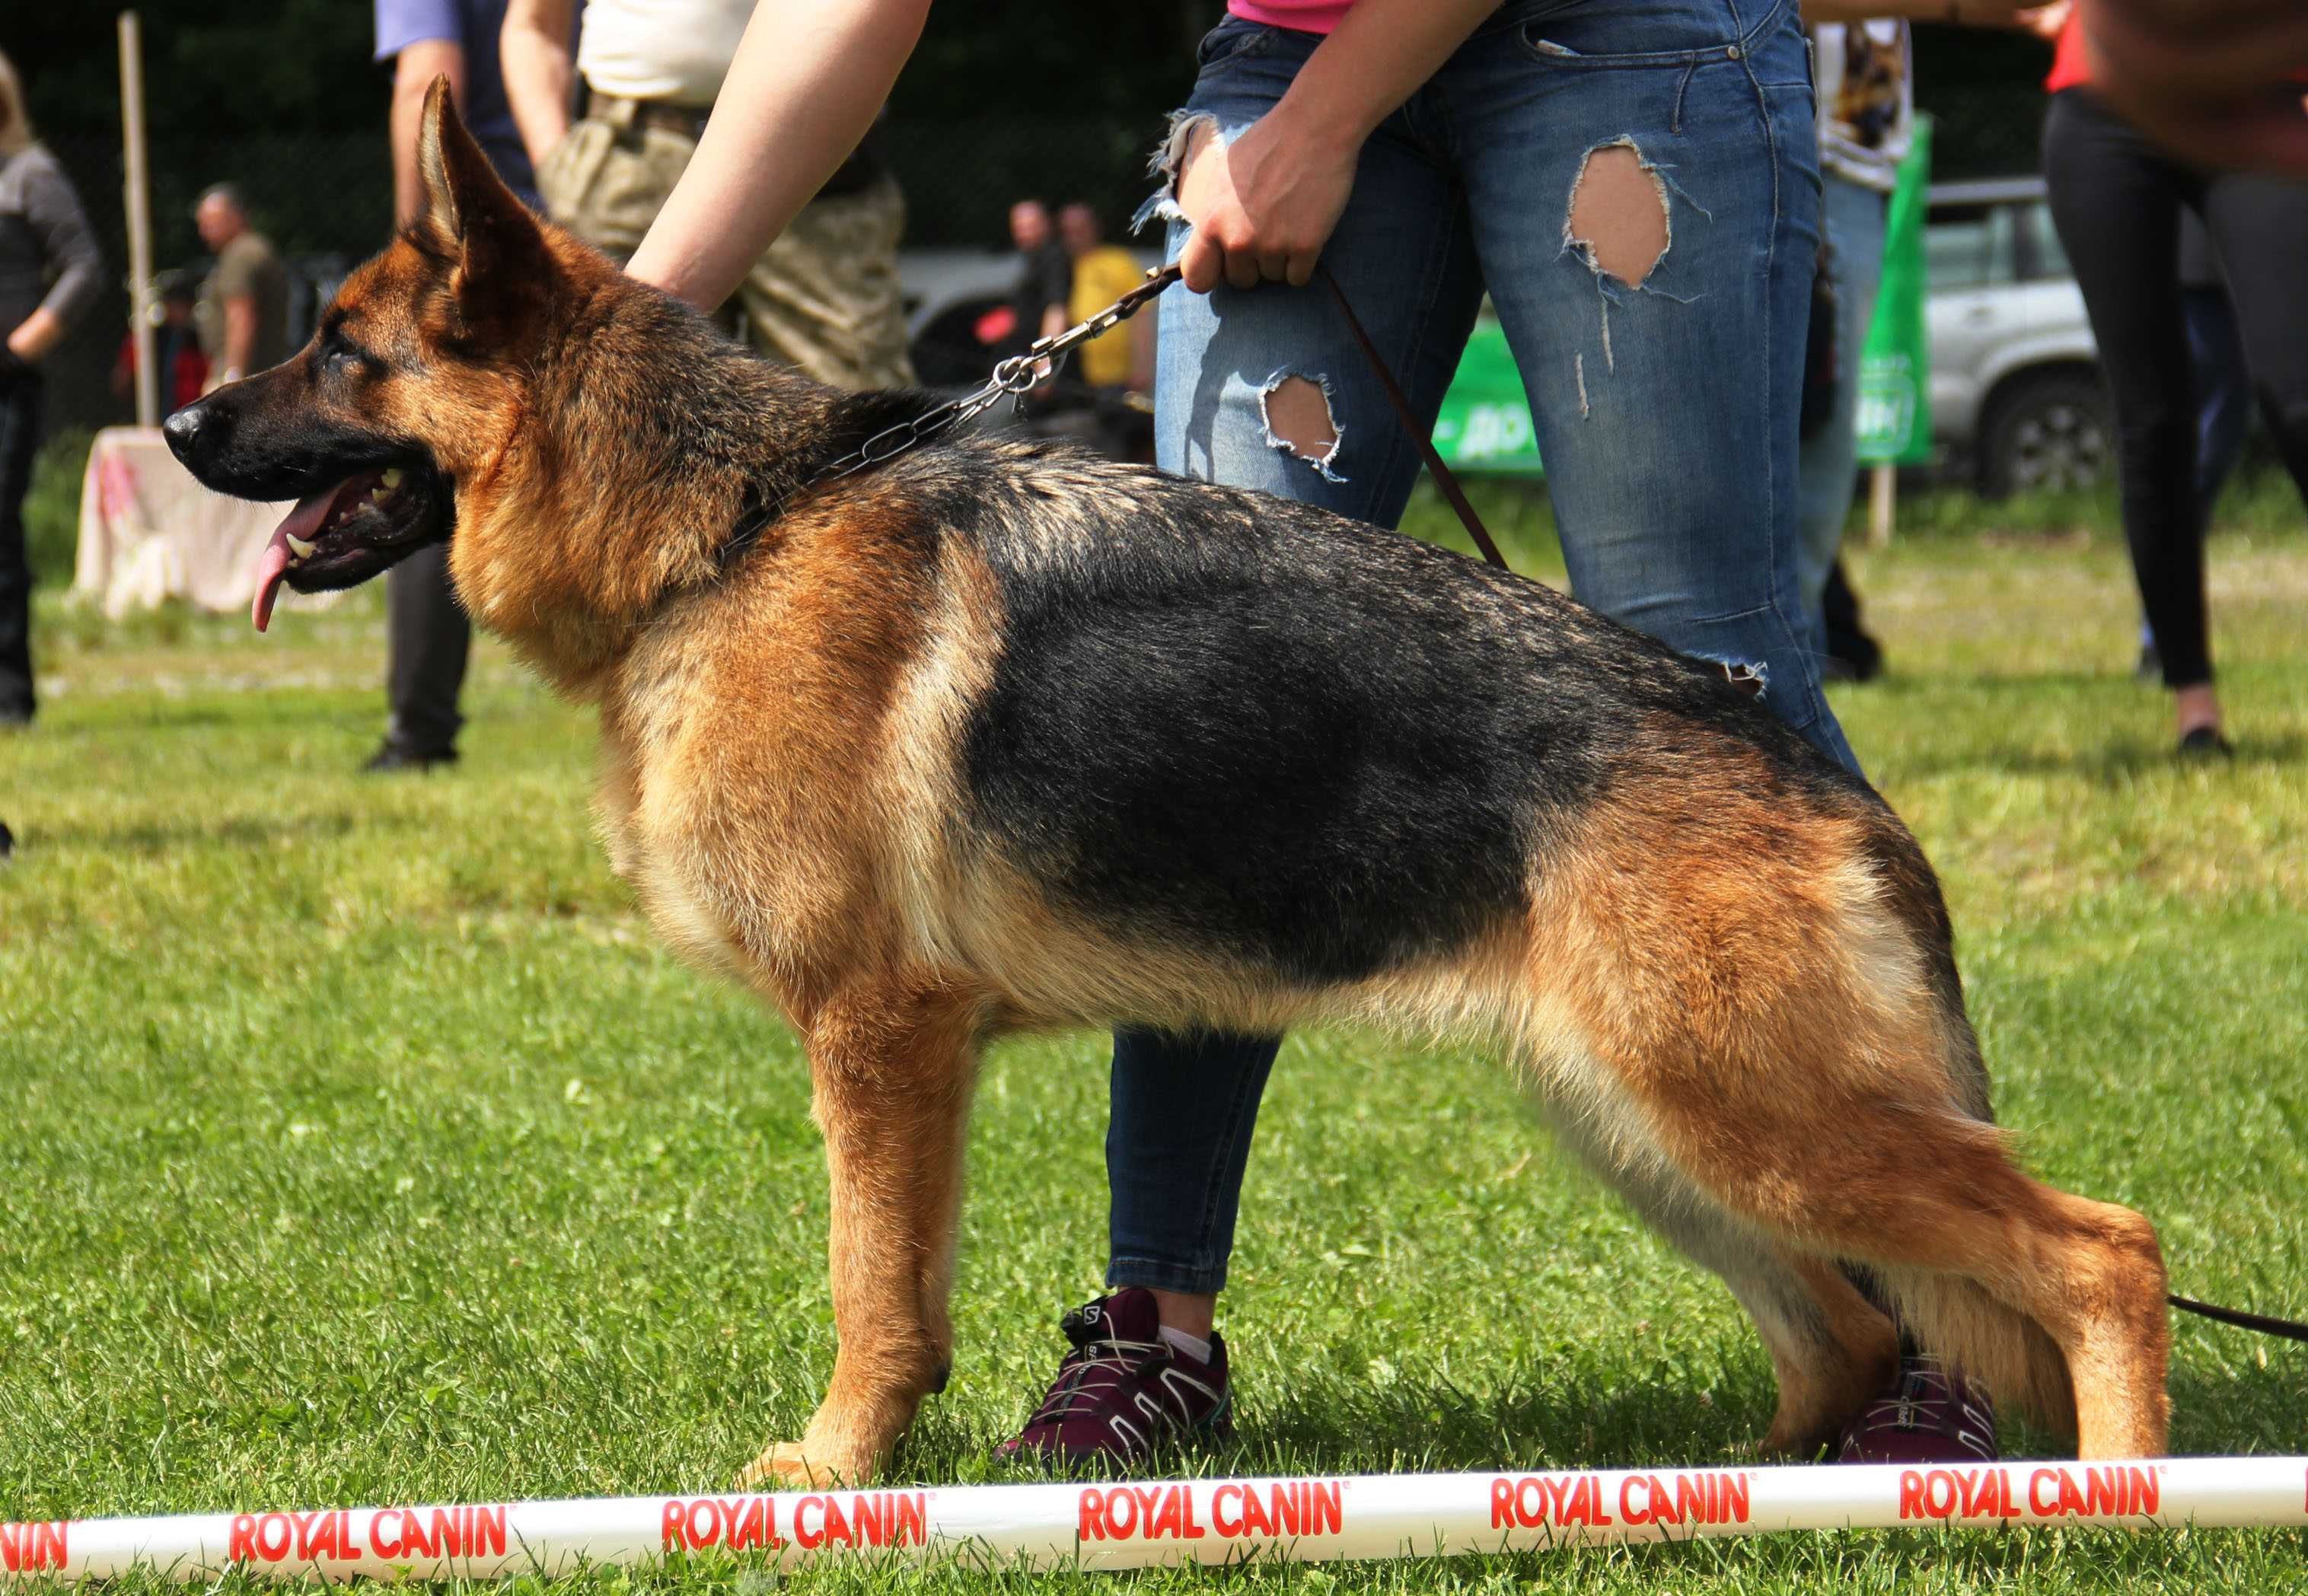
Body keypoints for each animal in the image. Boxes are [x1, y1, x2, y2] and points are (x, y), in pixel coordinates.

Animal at [171, 87, 2169, 1485]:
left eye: (340, 348)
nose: (183, 417)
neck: (720, 535)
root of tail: (1789, 749)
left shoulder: (877, 1039)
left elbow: (872, 1290)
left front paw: (836, 1468)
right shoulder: (909, 1054)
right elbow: (903, 1285)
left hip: (1751, 1115)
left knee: (2101, 1251)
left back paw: (2113, 1493)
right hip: (1655, 1126)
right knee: (1841, 1336)